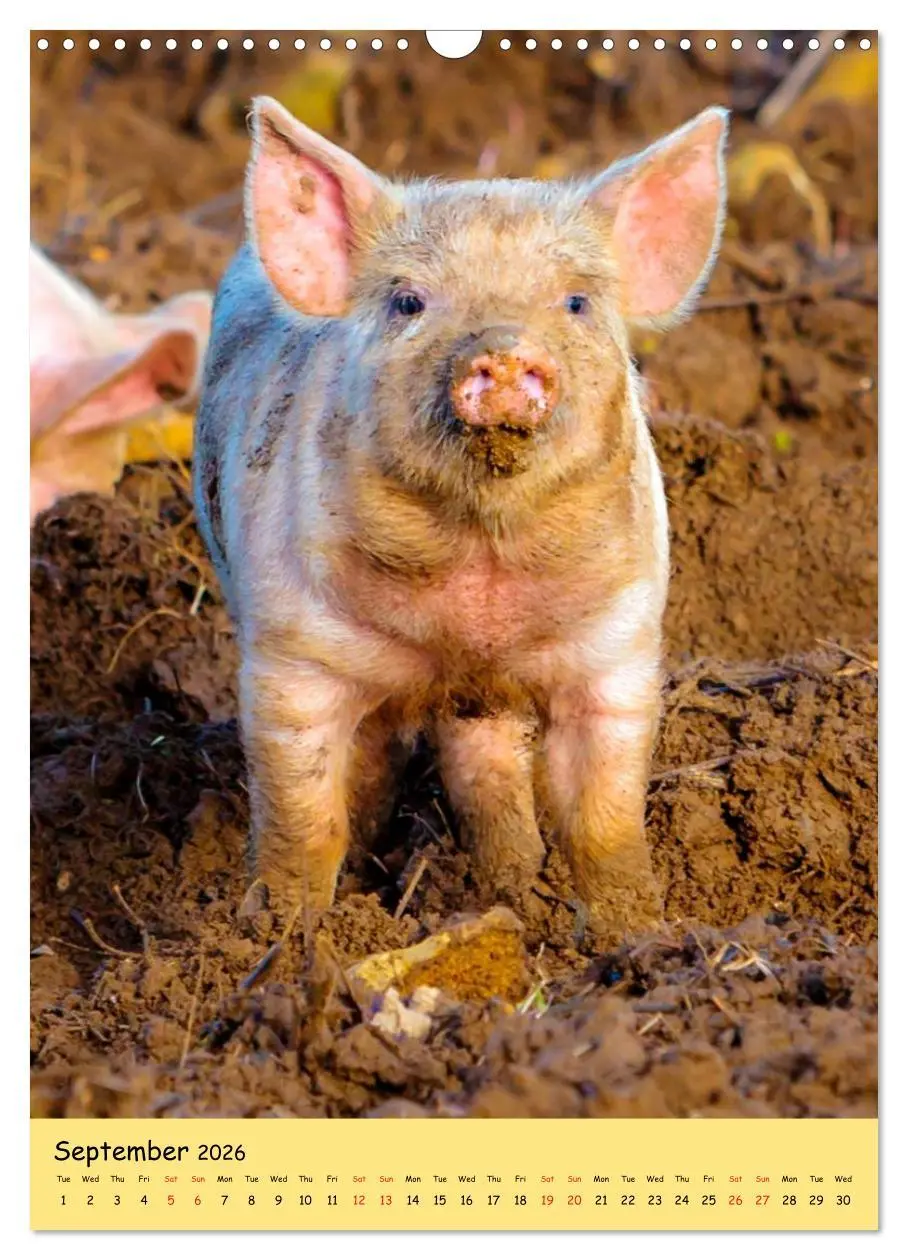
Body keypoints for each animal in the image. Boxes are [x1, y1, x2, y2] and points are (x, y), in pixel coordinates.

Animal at [194, 97, 728, 936]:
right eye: (409, 302)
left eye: (576, 302)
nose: (505, 352)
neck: (479, 568)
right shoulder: (291, 655)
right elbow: (302, 813)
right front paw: (282, 930)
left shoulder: (619, 645)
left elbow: (605, 814)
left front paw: (638, 933)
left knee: (487, 769)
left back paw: (513, 887)